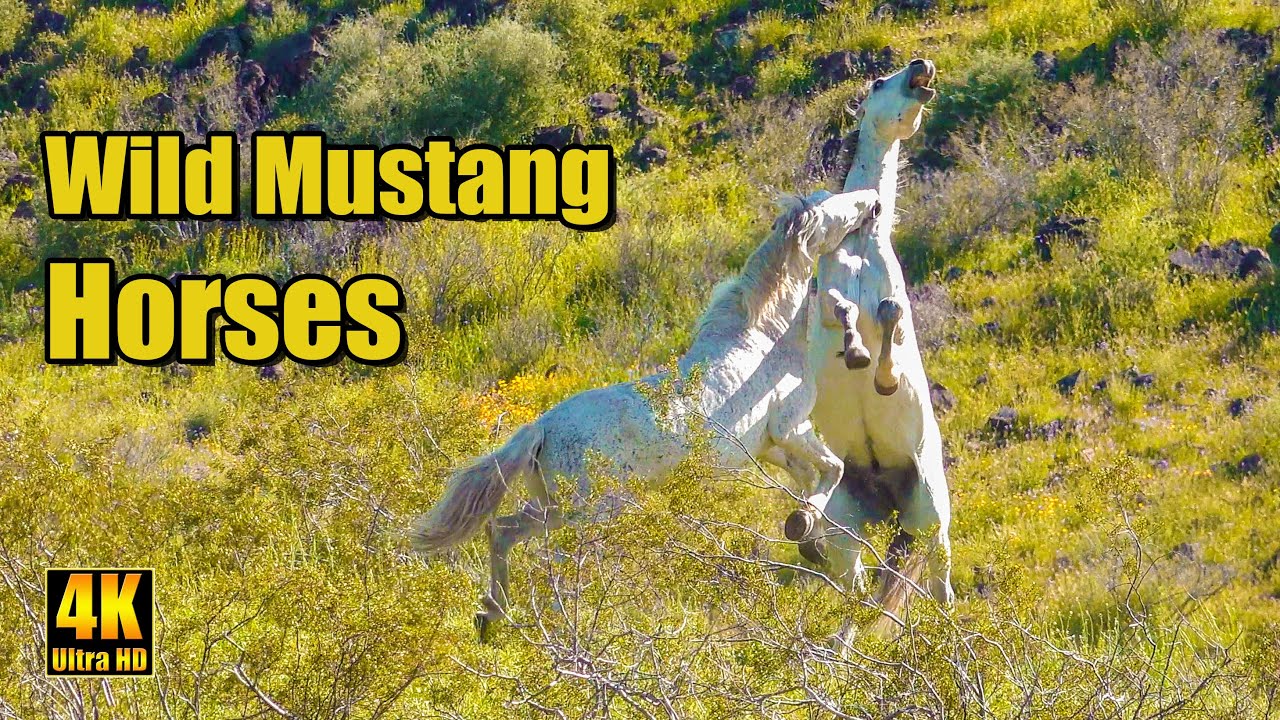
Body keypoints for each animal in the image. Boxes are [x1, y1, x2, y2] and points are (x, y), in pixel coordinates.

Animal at [411, 190, 881, 638]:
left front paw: (818, 546)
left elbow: (812, 477)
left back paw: (491, 616)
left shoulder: (770, 446)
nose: (872, 204)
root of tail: (540, 429)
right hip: (589, 514)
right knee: (557, 566)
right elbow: (833, 469)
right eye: (835, 207)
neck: (764, 335)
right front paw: (805, 527)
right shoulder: (790, 426)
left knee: (502, 531)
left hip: (552, 507)